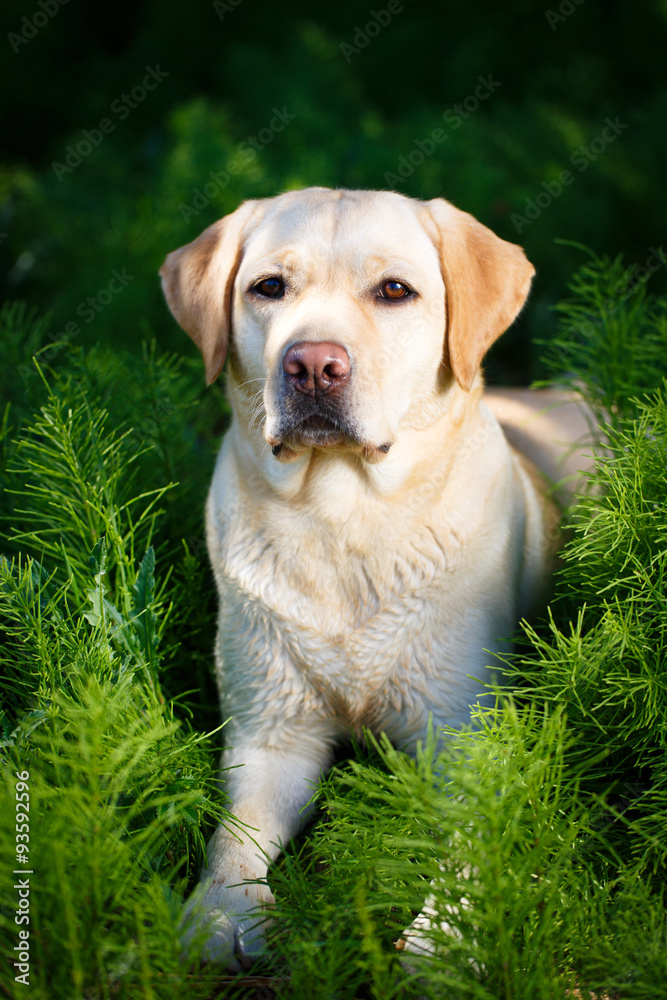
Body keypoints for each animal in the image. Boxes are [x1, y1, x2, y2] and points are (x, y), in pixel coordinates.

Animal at [159, 188, 592, 968]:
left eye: (394, 291)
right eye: (269, 288)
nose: (311, 365)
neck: (344, 516)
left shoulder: (465, 733)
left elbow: (471, 844)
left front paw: (444, 936)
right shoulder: (271, 732)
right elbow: (233, 833)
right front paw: (219, 912)